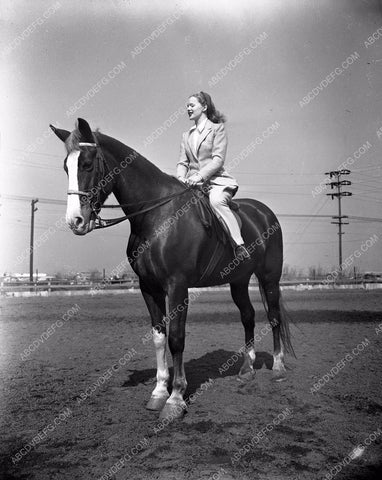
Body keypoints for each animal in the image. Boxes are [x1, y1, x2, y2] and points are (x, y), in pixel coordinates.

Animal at [50, 119, 294, 420]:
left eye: (86, 164)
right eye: (66, 167)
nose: (75, 221)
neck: (156, 216)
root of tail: (264, 213)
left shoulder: (177, 286)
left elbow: (177, 338)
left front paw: (176, 398)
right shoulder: (149, 287)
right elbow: (159, 337)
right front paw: (158, 392)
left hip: (270, 278)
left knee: (273, 317)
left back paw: (278, 368)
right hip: (238, 281)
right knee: (247, 316)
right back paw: (247, 369)